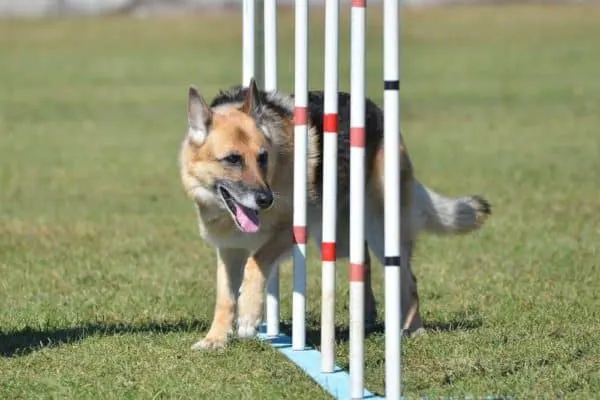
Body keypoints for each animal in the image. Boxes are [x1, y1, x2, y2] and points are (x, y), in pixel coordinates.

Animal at [176, 77, 490, 346]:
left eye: (262, 158)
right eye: (232, 159)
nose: (266, 200)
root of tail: (379, 112)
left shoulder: (290, 231)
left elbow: (256, 262)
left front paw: (249, 316)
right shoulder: (229, 249)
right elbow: (225, 297)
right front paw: (215, 339)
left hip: (381, 229)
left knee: (407, 279)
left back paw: (413, 329)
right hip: (341, 238)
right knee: (363, 262)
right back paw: (366, 317)